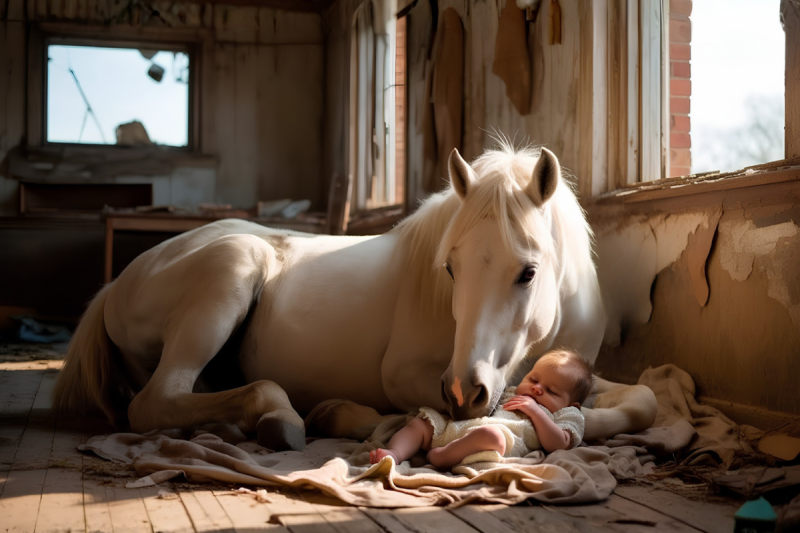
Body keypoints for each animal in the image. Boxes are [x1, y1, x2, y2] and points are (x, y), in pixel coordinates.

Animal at [53, 145, 657, 452]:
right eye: (451, 268)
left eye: (527, 272)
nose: (466, 389)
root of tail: (119, 283)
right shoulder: (411, 377)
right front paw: (354, 416)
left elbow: (642, 401)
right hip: (234, 265)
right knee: (156, 402)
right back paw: (281, 416)